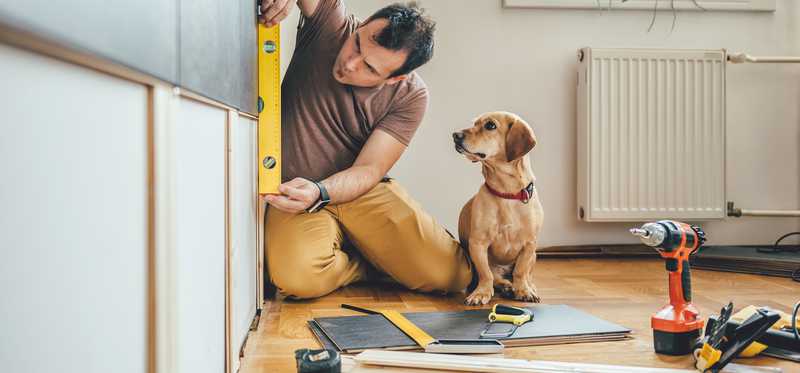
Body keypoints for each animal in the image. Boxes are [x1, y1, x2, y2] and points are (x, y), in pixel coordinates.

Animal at [450, 110, 544, 306]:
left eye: (490, 125)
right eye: (474, 123)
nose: (455, 135)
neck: (507, 193)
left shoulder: (529, 244)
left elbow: (520, 271)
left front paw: (524, 290)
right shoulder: (478, 243)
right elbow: (486, 274)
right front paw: (481, 293)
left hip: (534, 256)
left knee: (525, 274)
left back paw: (526, 287)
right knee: (497, 277)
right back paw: (506, 286)